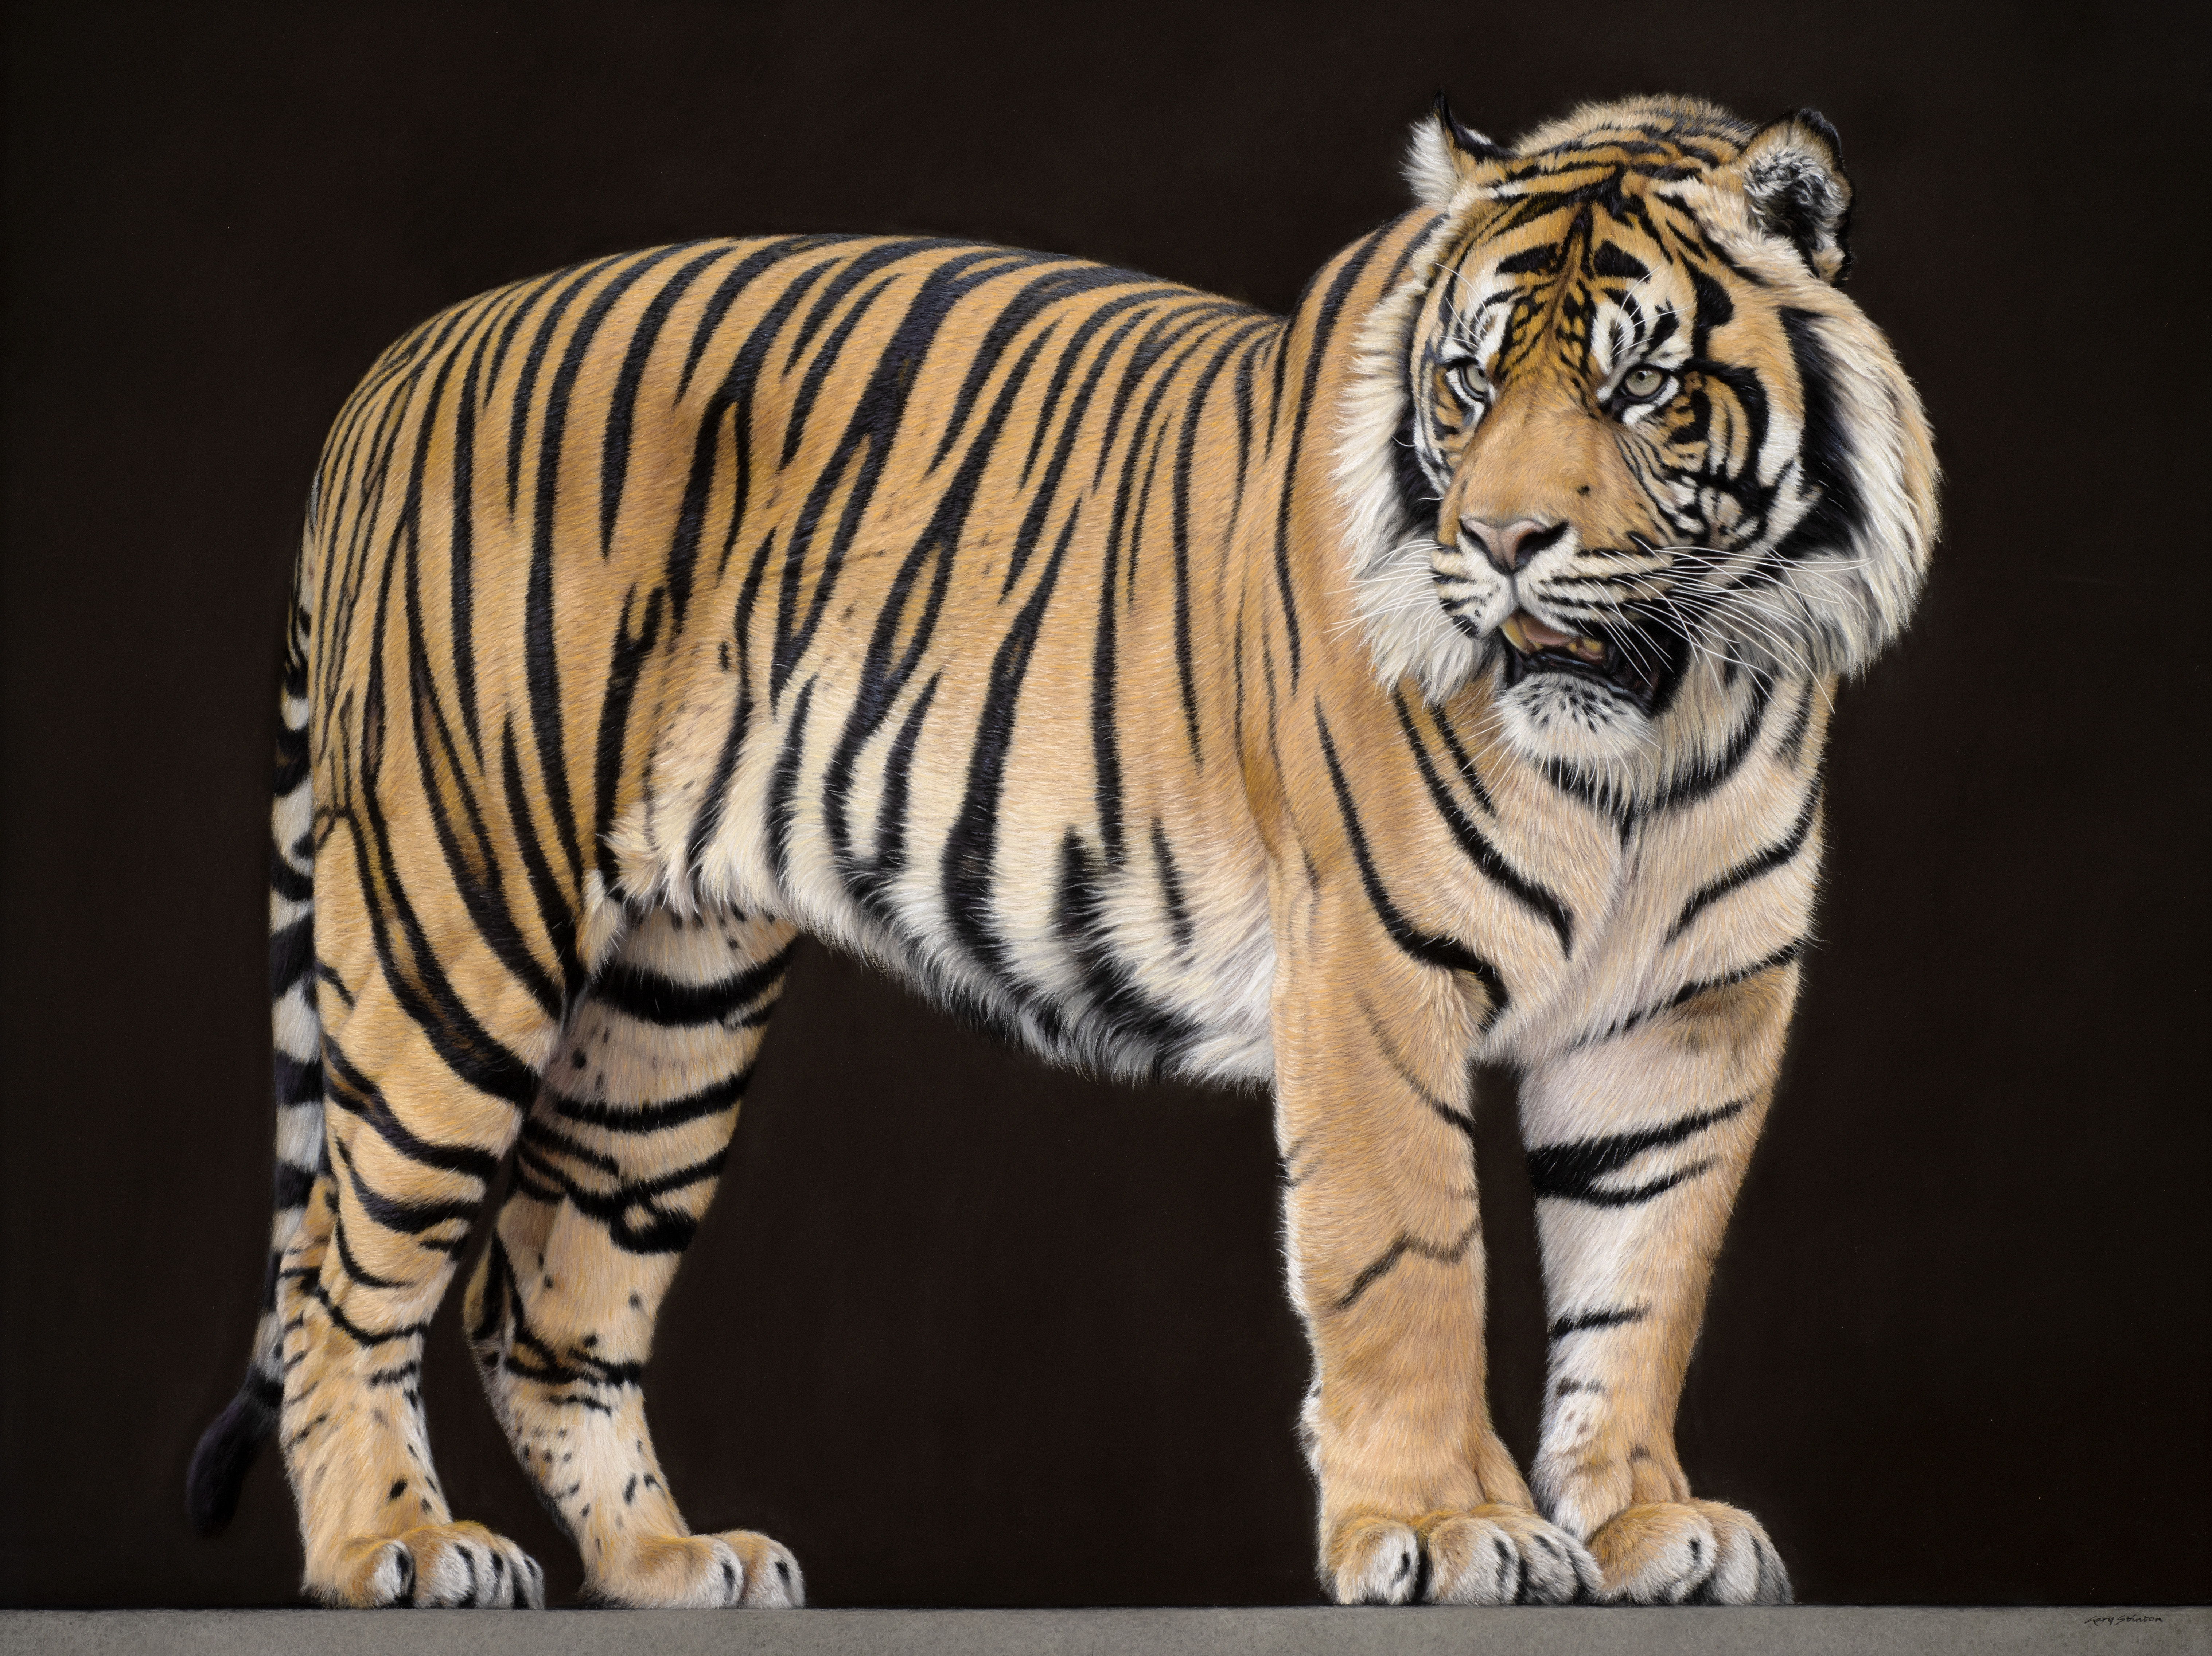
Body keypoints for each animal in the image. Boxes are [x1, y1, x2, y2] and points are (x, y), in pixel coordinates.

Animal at [186, 92, 1937, 1609]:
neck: (1667, 720)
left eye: (1640, 388)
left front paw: (1643, 1524)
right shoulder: (1371, 974)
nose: (1501, 545)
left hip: (670, 999)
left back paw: (673, 1563)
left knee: (544, 1280)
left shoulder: (1690, 1010)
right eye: (1466, 382)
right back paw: (394, 1550)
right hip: (455, 922)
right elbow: (1411, 1264)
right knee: (342, 1269)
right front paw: (1449, 1527)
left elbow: (1643, 1278)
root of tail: (397, 369)